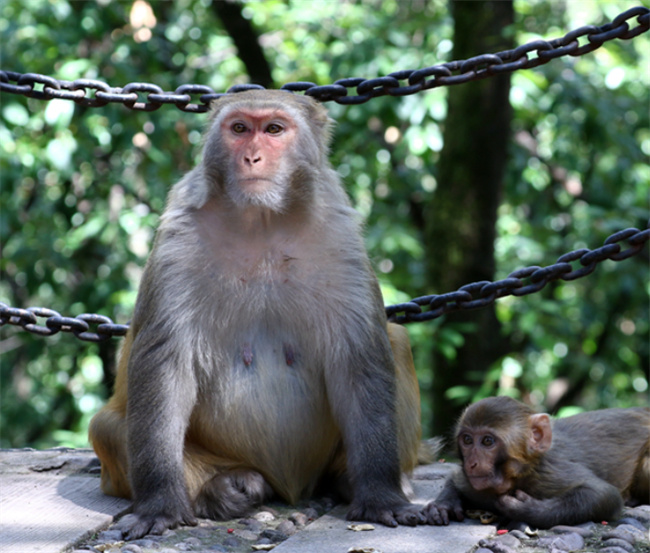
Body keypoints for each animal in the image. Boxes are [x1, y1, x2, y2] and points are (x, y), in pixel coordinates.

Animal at [88, 88, 422, 536]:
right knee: (108, 428)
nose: (252, 157)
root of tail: (290, 486)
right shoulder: (179, 237)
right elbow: (164, 362)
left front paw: (380, 495)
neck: (261, 220)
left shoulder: (341, 234)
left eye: (274, 129)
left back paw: (348, 480)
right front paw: (160, 503)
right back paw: (222, 489)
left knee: (395, 338)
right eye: (240, 128)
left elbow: (361, 357)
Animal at [422, 394, 644, 528]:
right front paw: (444, 505)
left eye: (487, 441)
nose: (472, 463)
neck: (516, 477)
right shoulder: (476, 487)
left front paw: (525, 509)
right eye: (467, 440)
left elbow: (603, 494)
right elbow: (455, 478)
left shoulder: (548, 473)